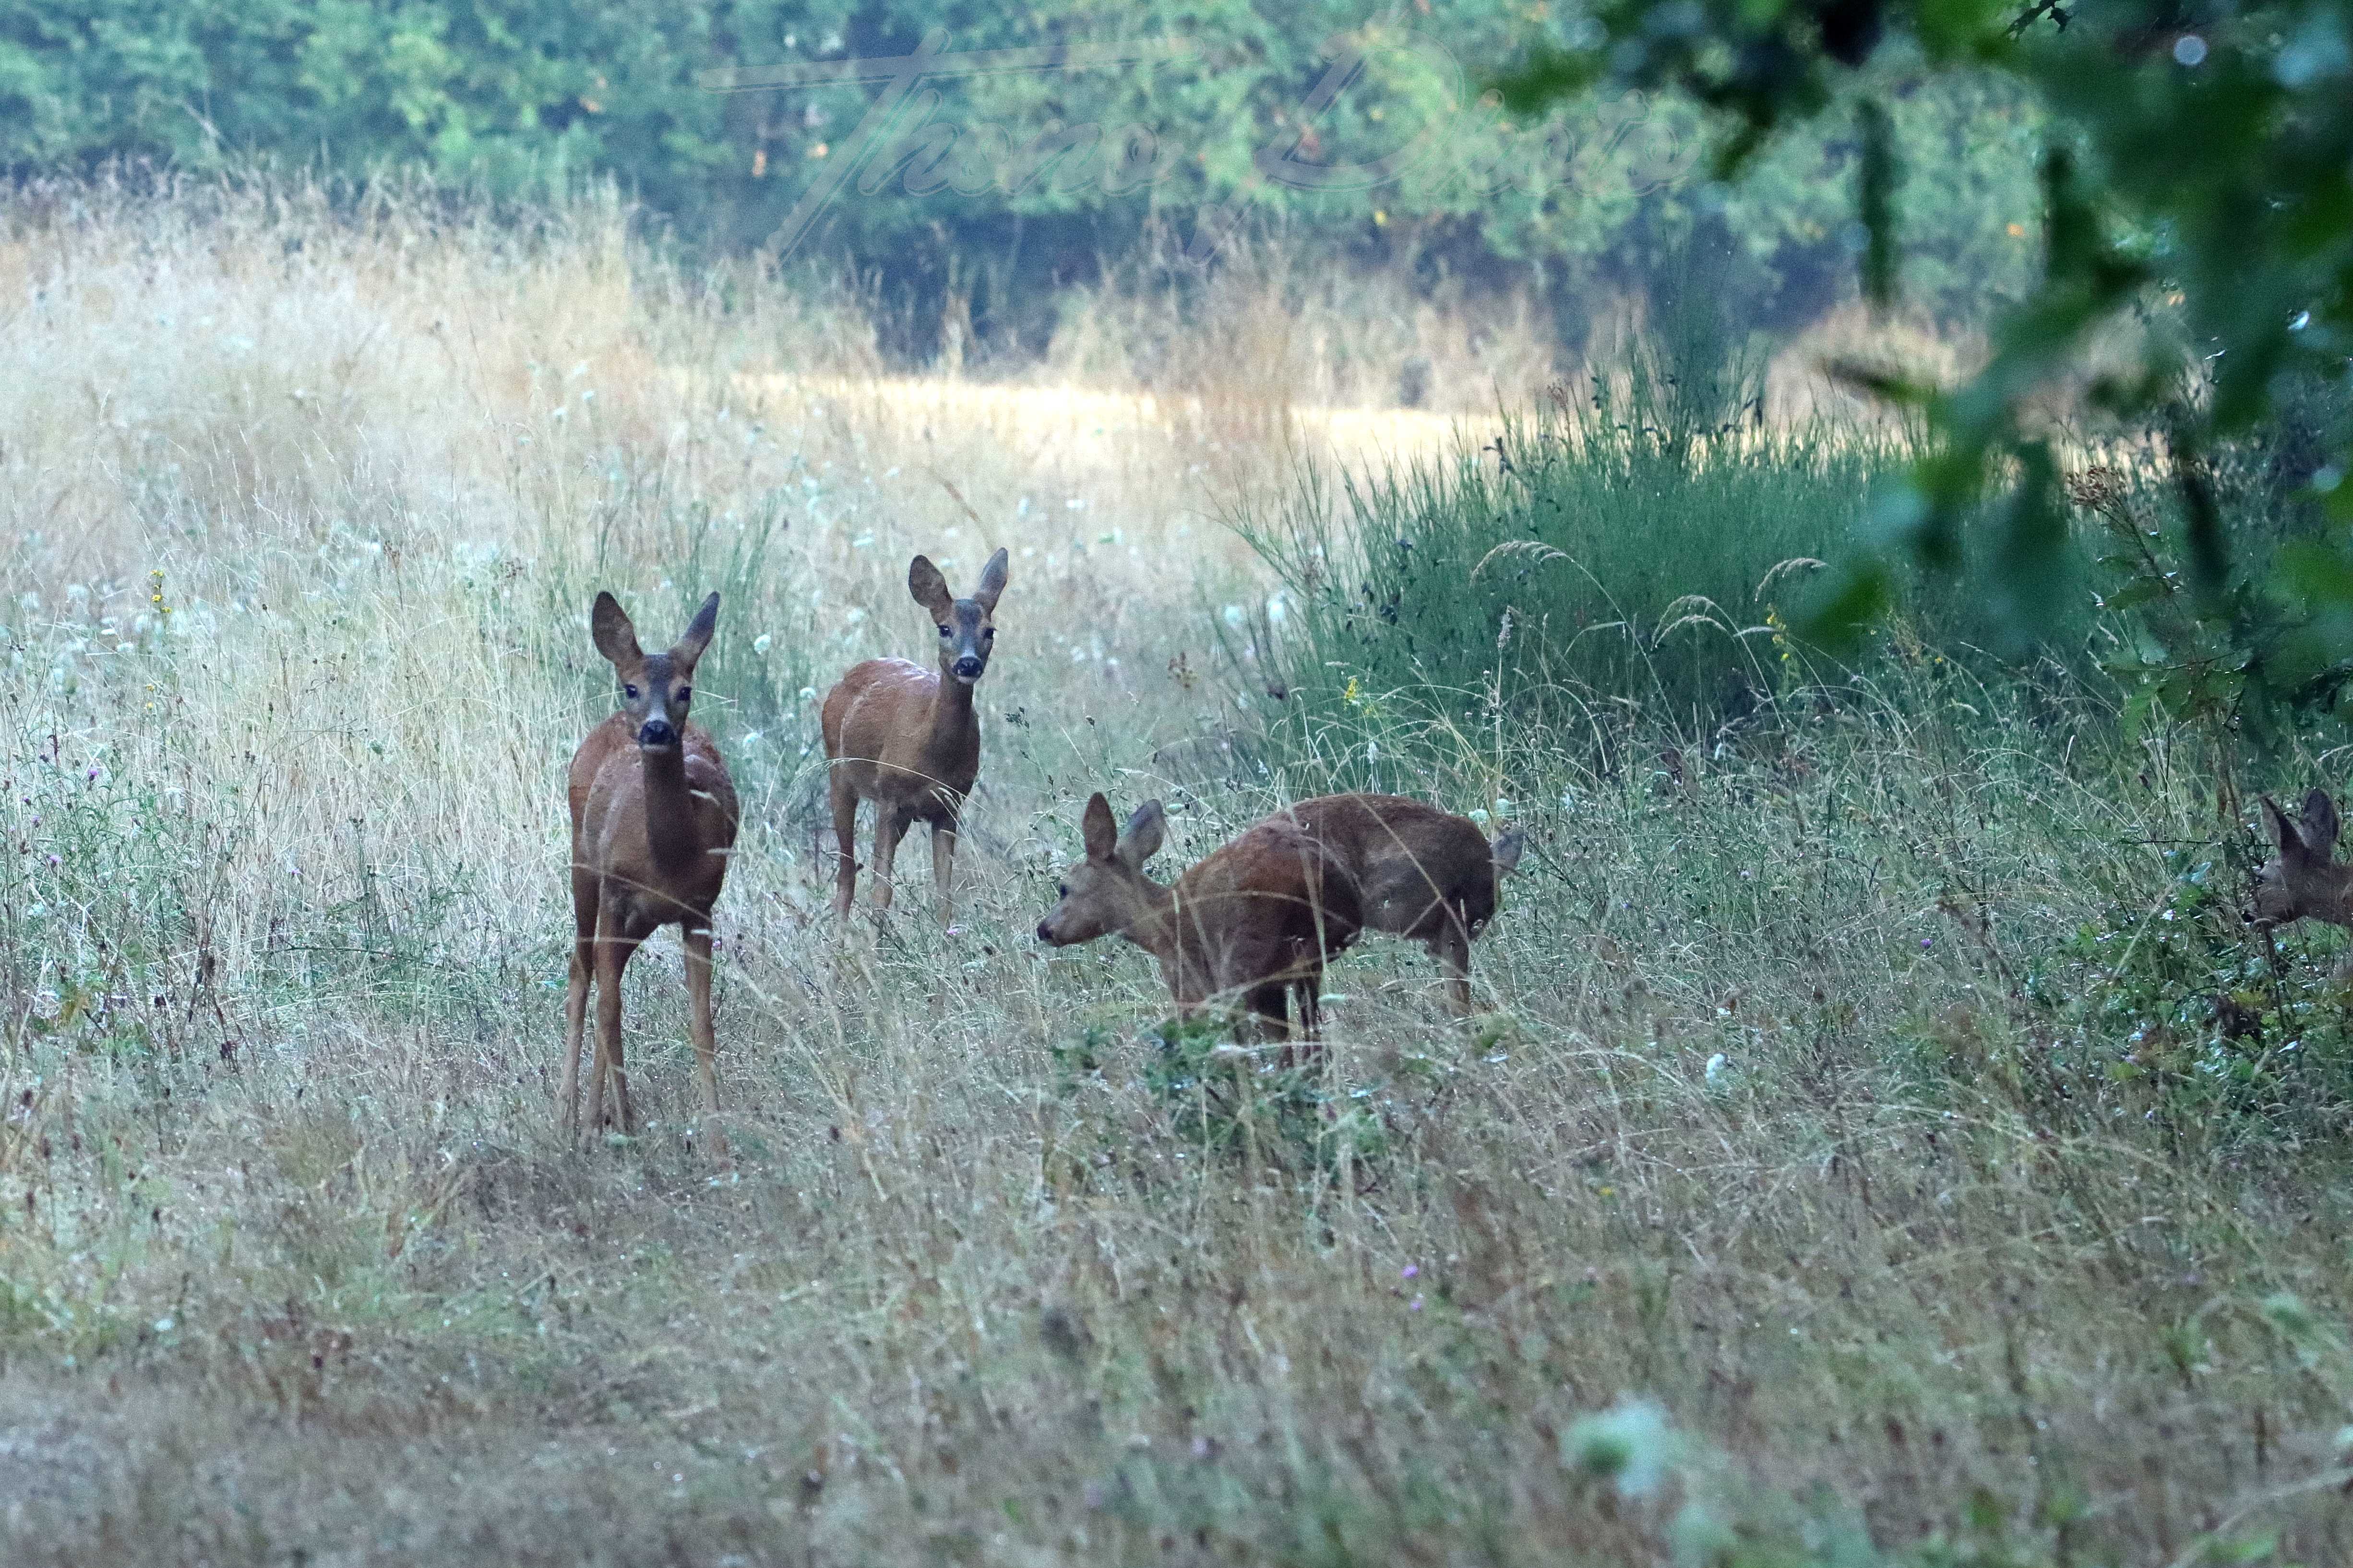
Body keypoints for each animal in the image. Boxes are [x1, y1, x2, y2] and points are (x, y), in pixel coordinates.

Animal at [560, 587, 734, 1152]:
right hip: (584, 869)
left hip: (640, 917)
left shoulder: (700, 908)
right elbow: (609, 1008)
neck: (668, 857)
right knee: (584, 973)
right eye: (631, 687)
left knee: (604, 975)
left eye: (685, 690)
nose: (656, 729)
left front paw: (719, 1146)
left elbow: (702, 1026)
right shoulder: (616, 894)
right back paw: (568, 1115)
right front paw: (601, 1126)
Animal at [824, 550, 1007, 926]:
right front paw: (873, 942)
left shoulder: (950, 804)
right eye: (945, 628)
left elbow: (945, 895)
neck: (933, 754)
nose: (968, 664)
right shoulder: (889, 796)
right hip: (839, 772)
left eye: (990, 631)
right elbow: (881, 891)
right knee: (846, 875)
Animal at [1030, 790, 1364, 1048]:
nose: (1043, 930)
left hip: (1243, 961)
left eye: (1064, 889)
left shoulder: (1186, 983)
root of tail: (1315, 870)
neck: (1157, 922)